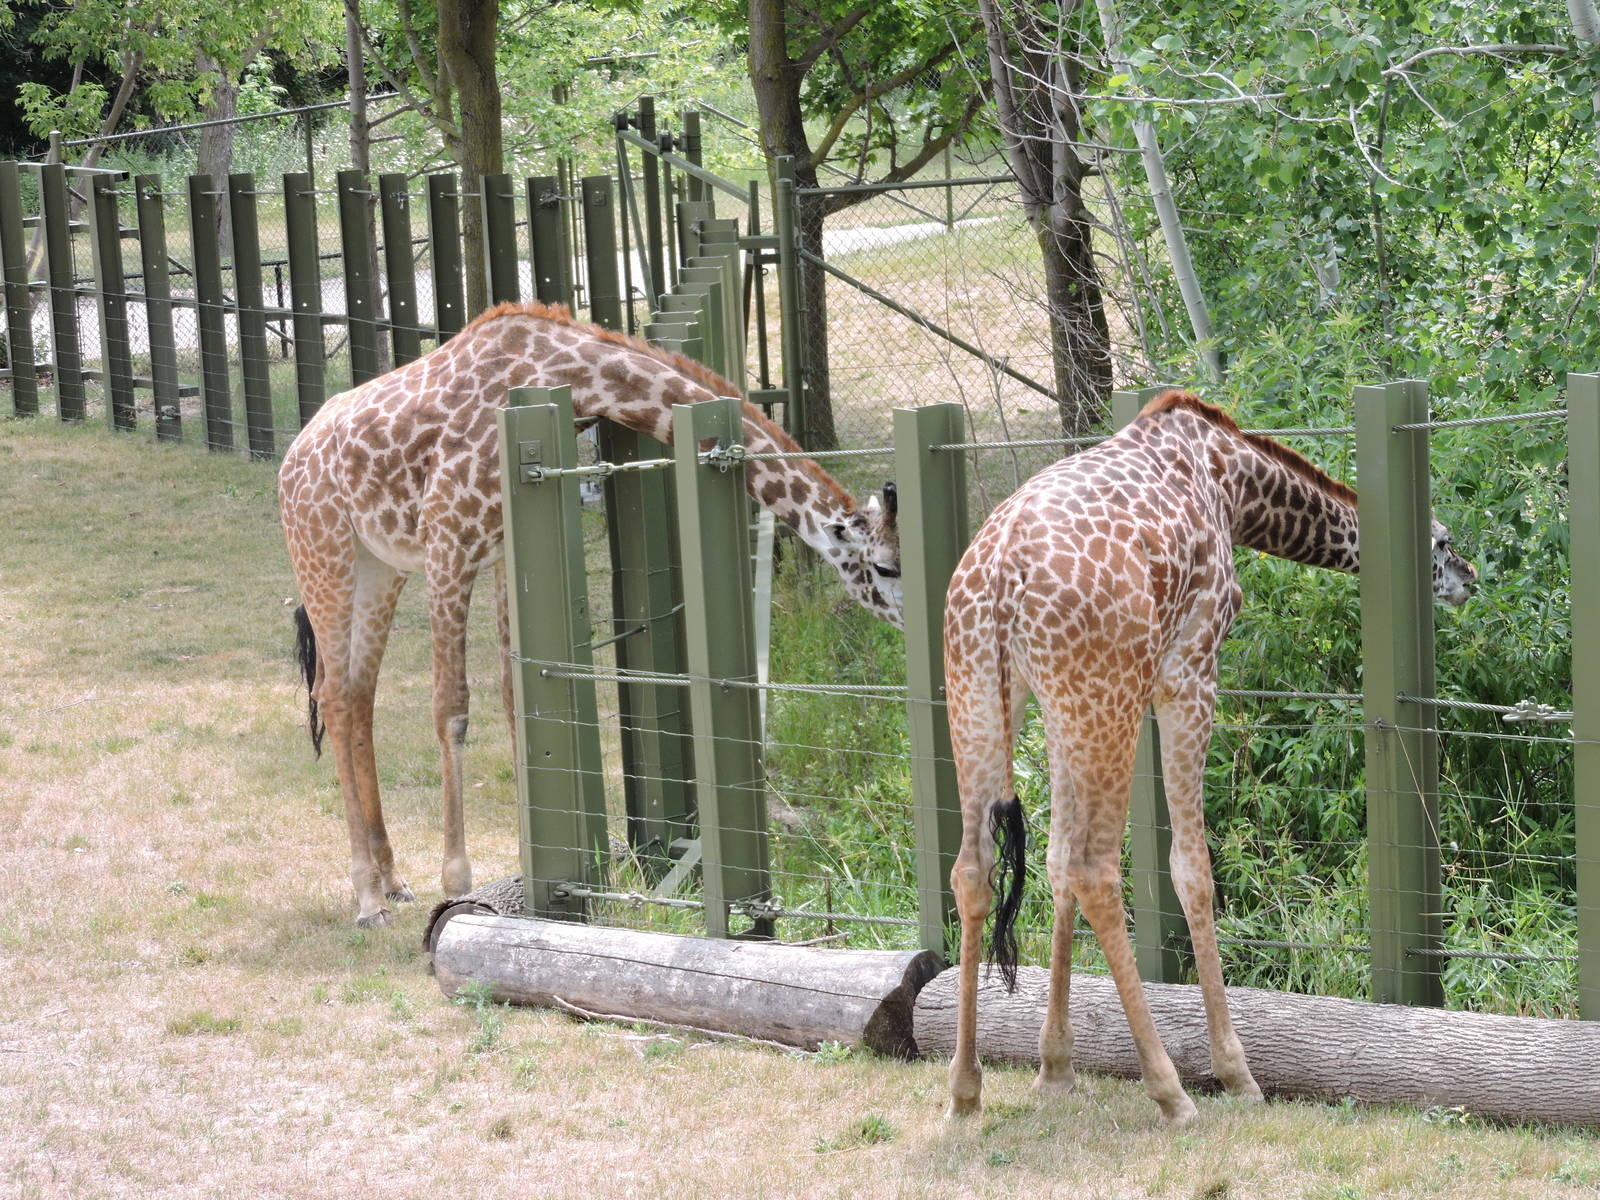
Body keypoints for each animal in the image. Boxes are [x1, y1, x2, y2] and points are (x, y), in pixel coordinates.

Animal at [278, 301, 903, 928]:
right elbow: (451, 709)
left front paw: (535, 869)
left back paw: (393, 881)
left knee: (358, 692)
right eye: (887, 567)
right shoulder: (448, 541)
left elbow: (518, 699)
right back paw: (367, 898)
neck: (567, 377)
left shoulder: (502, 549)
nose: (908, 629)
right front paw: (457, 880)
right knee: (333, 696)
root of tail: (290, 460)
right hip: (325, 553)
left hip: (380, 566)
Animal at [941, 390, 1476, 1126]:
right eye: (1444, 541)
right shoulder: (1188, 671)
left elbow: (1052, 861)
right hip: (1100, 694)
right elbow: (1191, 868)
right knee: (1097, 868)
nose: (1470, 579)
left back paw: (965, 1091)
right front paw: (1235, 1072)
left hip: (988, 698)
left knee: (978, 869)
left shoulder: (1071, 704)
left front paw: (1054, 1069)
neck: (1233, 484)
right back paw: (1171, 1091)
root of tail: (996, 581)